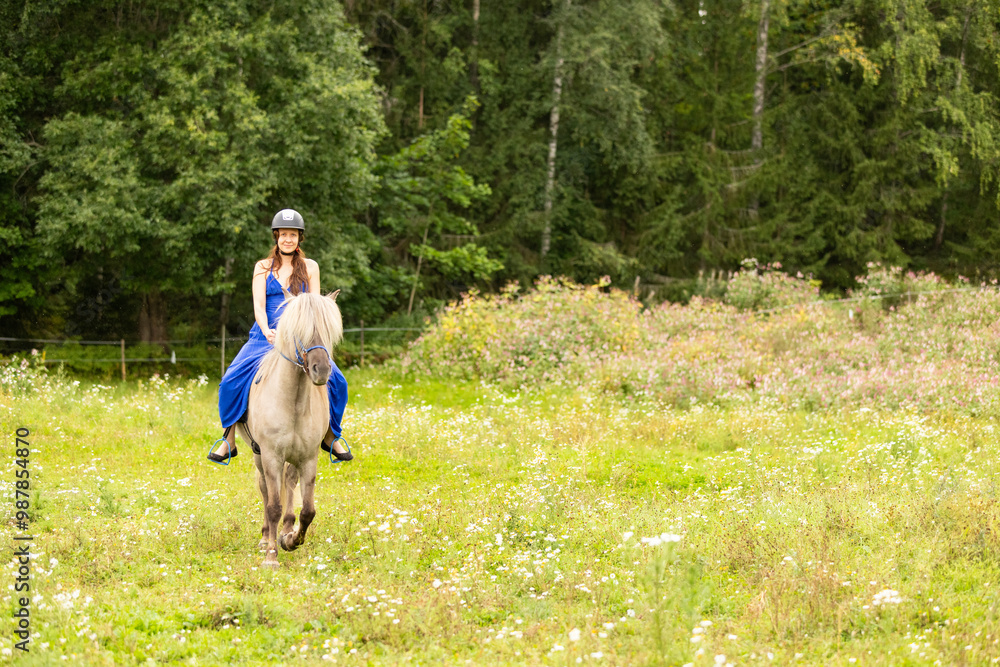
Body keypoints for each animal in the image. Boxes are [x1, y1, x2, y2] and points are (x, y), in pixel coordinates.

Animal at [234, 284, 343, 569]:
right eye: (298, 331)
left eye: (329, 330)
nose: (321, 370)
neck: (292, 401)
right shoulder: (271, 454)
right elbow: (273, 505)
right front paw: (271, 556)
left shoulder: (308, 457)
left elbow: (308, 510)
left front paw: (291, 540)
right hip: (259, 454)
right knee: (265, 489)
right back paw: (265, 538)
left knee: (289, 483)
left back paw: (285, 530)